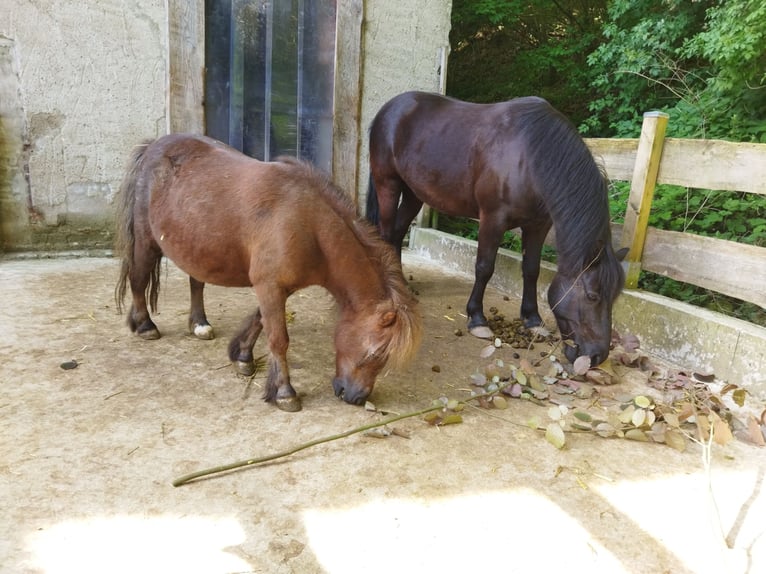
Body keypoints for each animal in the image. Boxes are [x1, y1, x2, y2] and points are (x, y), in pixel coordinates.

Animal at [117, 134, 424, 414]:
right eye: (376, 352)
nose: (356, 397)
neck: (308, 225)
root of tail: (154, 146)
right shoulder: (270, 286)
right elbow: (278, 339)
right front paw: (285, 393)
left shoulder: (276, 288)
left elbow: (260, 321)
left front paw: (242, 357)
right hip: (147, 242)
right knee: (139, 279)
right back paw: (145, 326)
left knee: (196, 283)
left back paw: (199, 324)